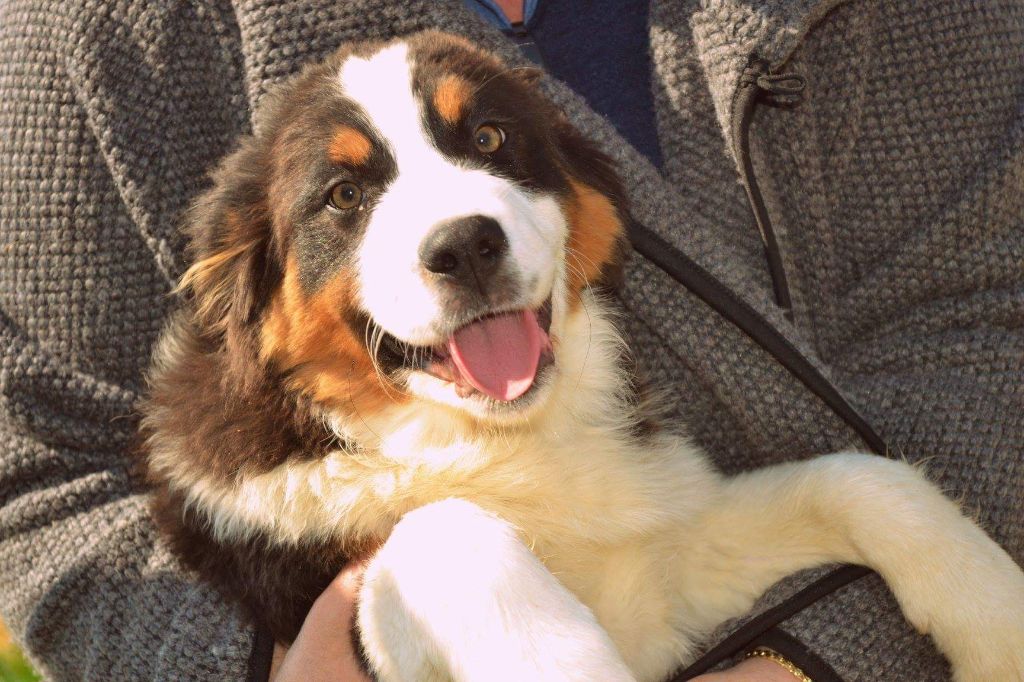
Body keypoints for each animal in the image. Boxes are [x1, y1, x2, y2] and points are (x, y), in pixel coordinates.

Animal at [142, 29, 1024, 675]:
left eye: (490, 137)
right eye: (344, 195)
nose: (464, 246)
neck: (490, 441)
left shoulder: (666, 554)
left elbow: (863, 479)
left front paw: (996, 627)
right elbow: (444, 530)